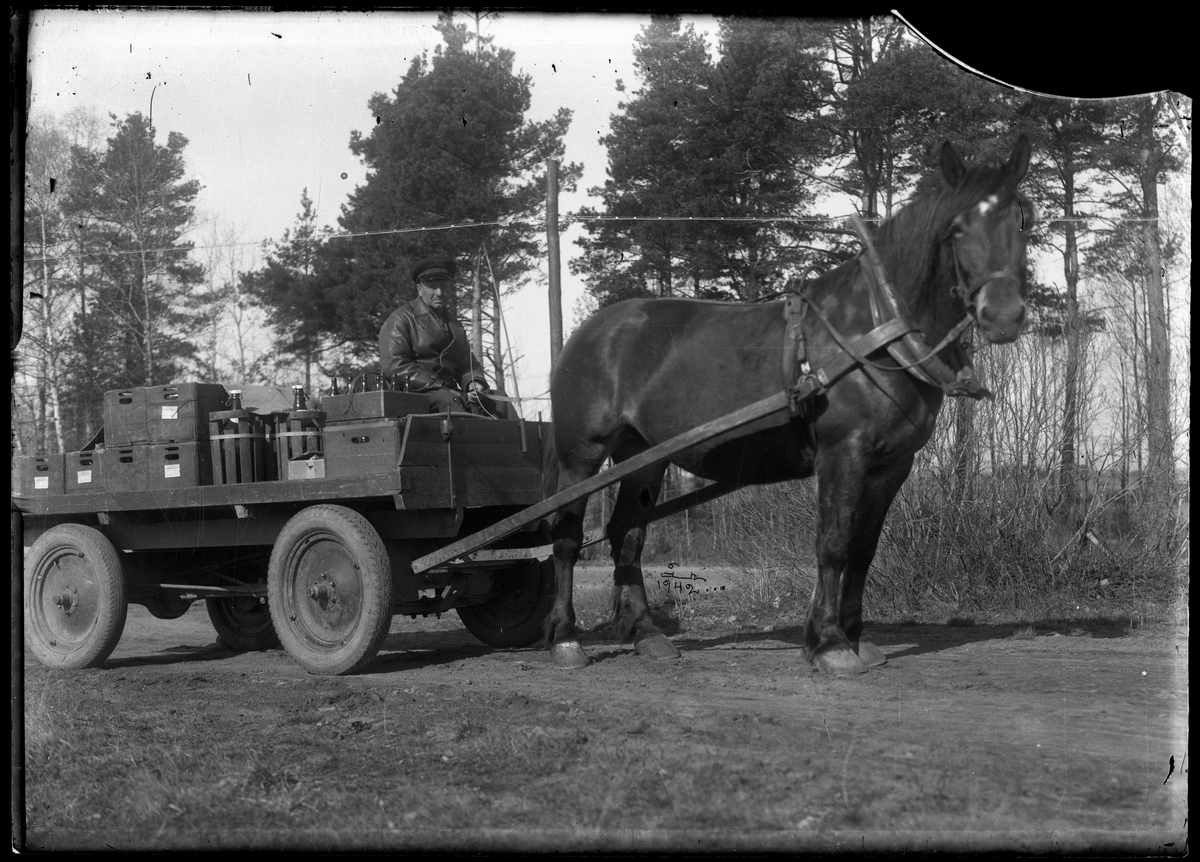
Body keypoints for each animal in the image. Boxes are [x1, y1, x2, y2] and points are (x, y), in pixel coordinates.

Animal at [542, 136, 1034, 675]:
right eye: (956, 228)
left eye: (1023, 220)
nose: (1003, 315)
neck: (877, 329)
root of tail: (591, 330)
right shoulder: (844, 452)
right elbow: (834, 544)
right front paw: (830, 643)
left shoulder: (892, 464)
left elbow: (864, 549)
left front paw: (854, 637)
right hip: (581, 455)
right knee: (567, 536)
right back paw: (565, 639)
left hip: (641, 455)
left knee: (626, 535)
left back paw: (646, 634)